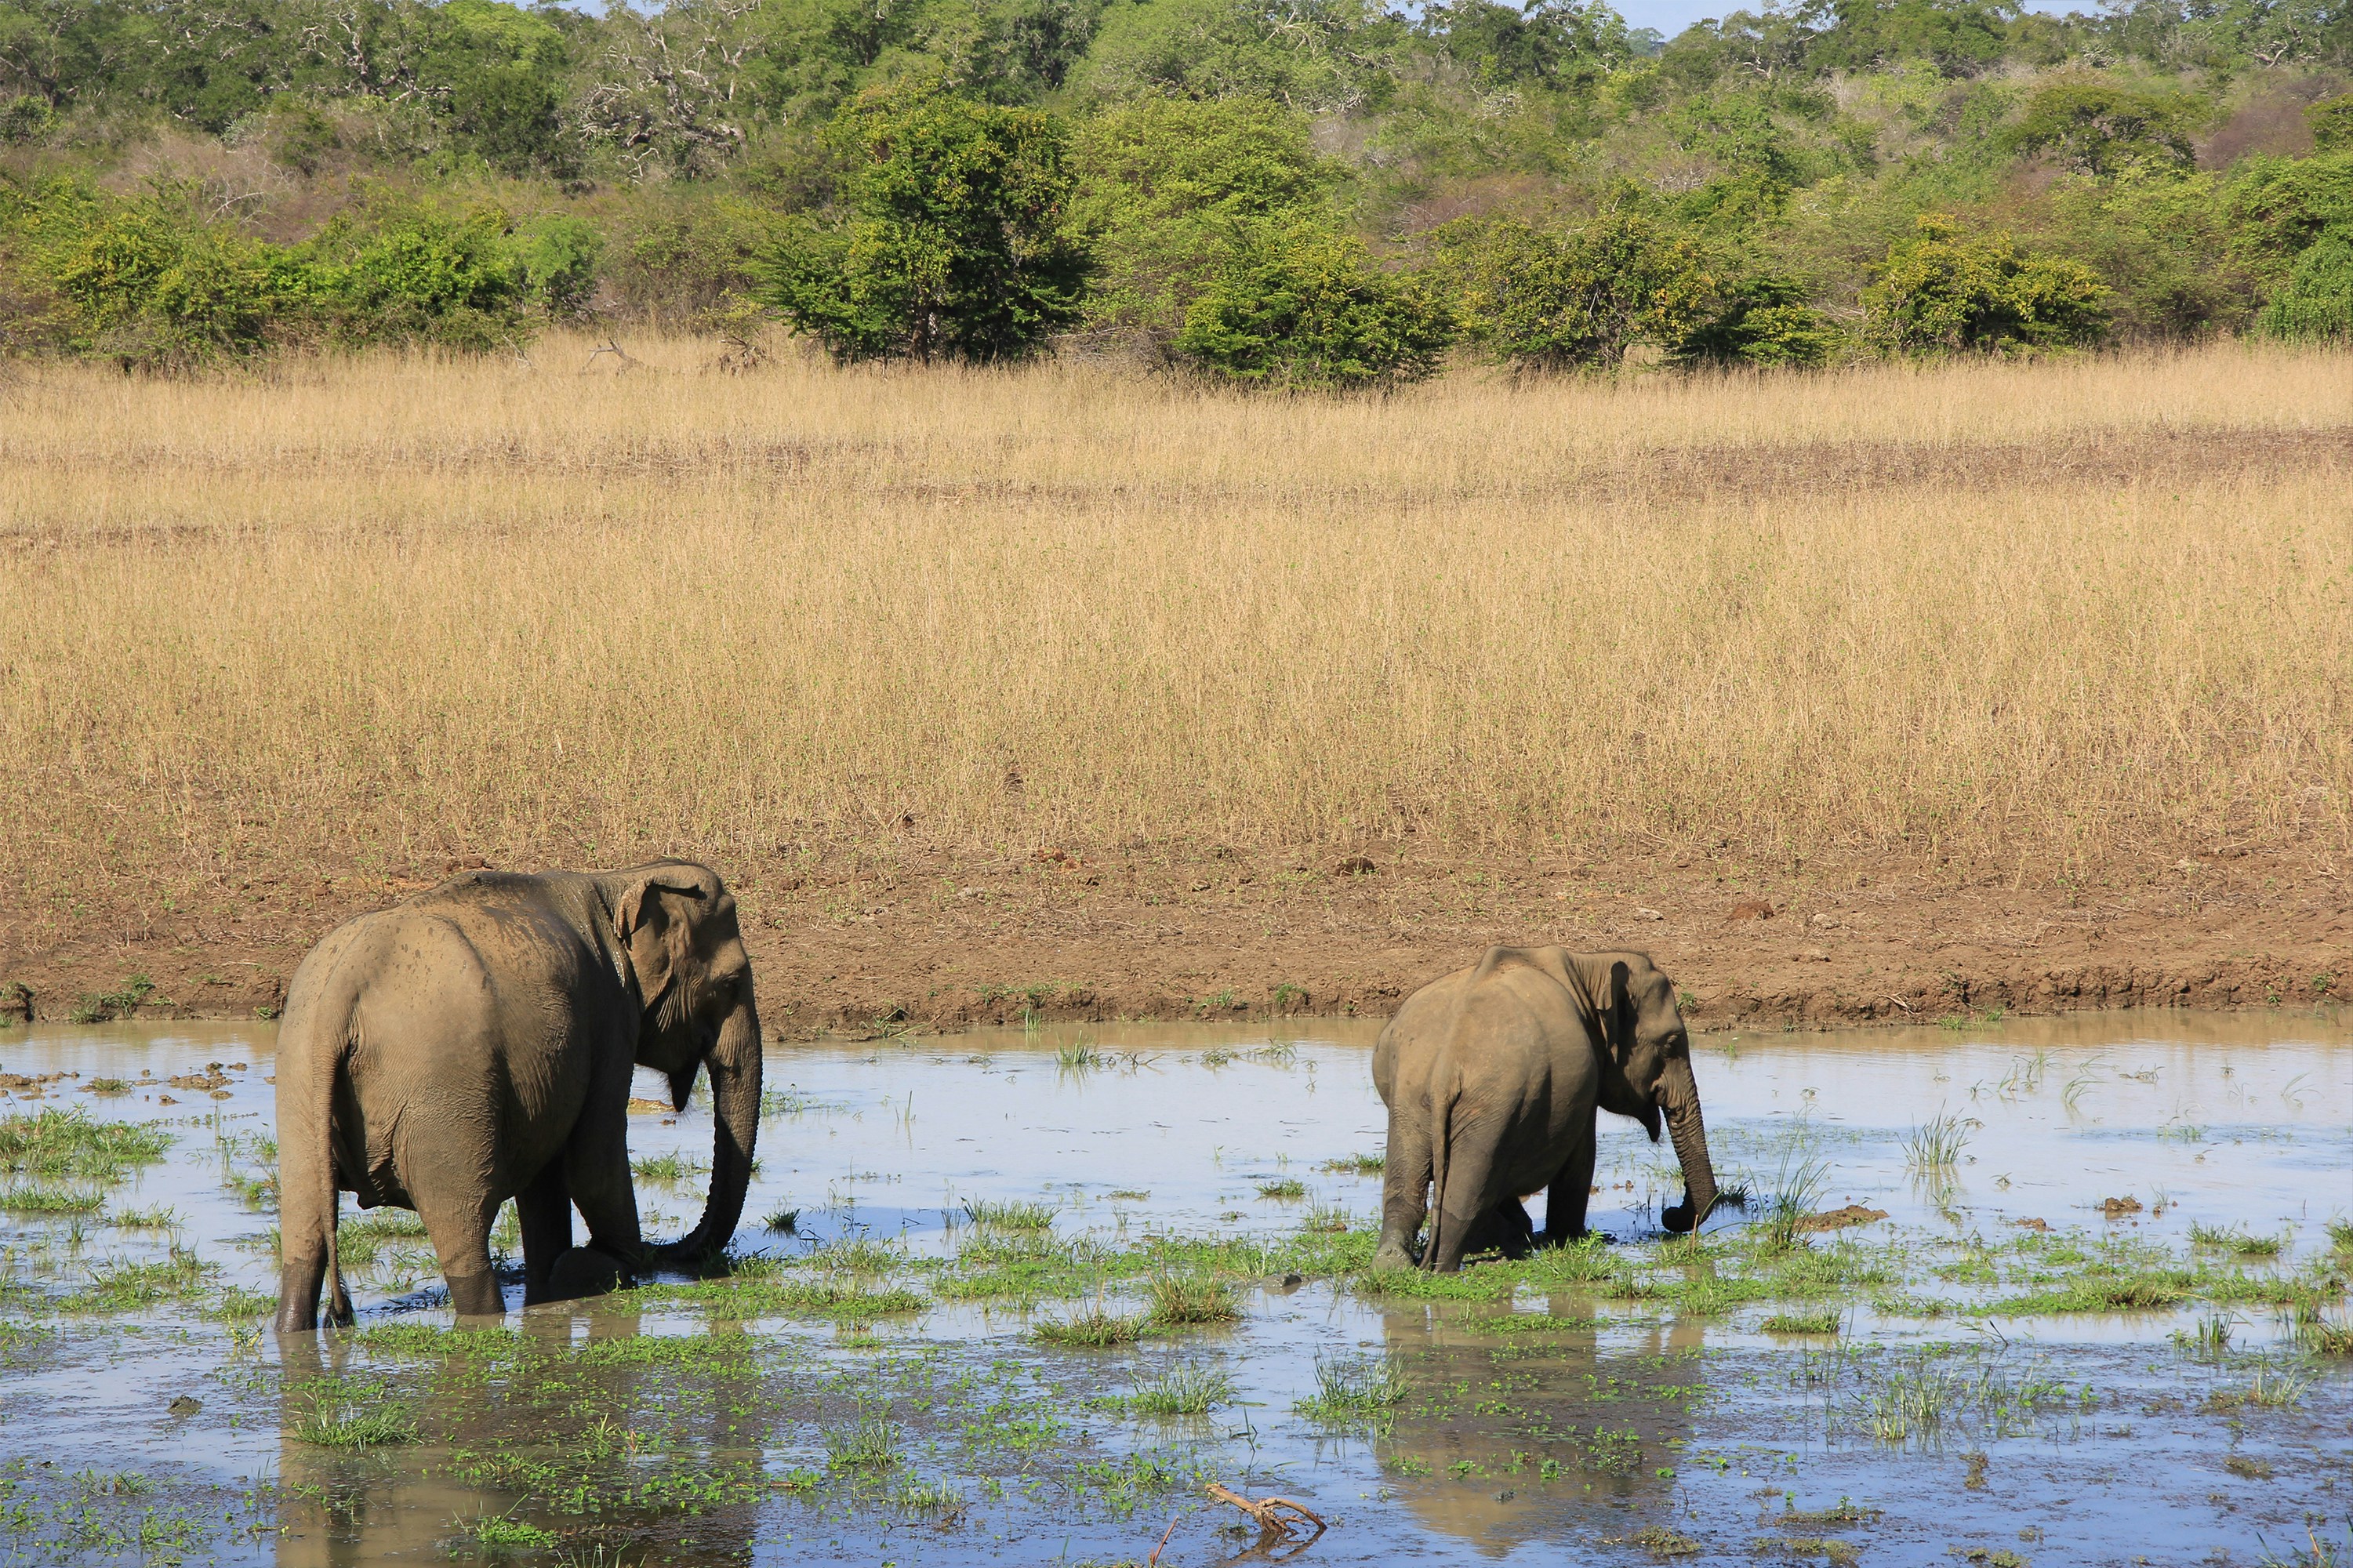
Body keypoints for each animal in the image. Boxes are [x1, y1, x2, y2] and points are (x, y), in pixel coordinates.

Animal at [271, 862, 762, 1327]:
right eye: (732, 983)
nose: (667, 1253)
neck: (621, 879)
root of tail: (342, 990)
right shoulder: (610, 1014)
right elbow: (593, 1161)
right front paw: (600, 1266)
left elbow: (546, 1178)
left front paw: (555, 1280)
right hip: (442, 1096)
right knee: (464, 1230)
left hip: (300, 1079)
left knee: (304, 1226)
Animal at [1374, 942, 1722, 1271]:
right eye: (1671, 1043)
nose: (1669, 1214)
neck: (1590, 965)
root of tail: (1445, 1068)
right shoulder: (1584, 1084)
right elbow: (1581, 1160)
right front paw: (1568, 1238)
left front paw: (1519, 1233)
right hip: (1491, 1103)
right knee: (1467, 1192)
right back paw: (1444, 1268)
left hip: (1411, 1096)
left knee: (1408, 1184)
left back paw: (1395, 1265)